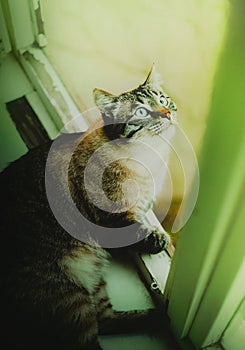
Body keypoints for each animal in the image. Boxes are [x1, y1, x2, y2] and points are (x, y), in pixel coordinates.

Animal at [0, 65, 178, 348]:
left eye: (162, 99)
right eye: (141, 111)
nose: (167, 112)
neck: (150, 156)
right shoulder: (114, 216)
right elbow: (140, 232)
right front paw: (160, 238)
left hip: (93, 282)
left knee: (105, 319)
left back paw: (157, 316)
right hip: (71, 299)